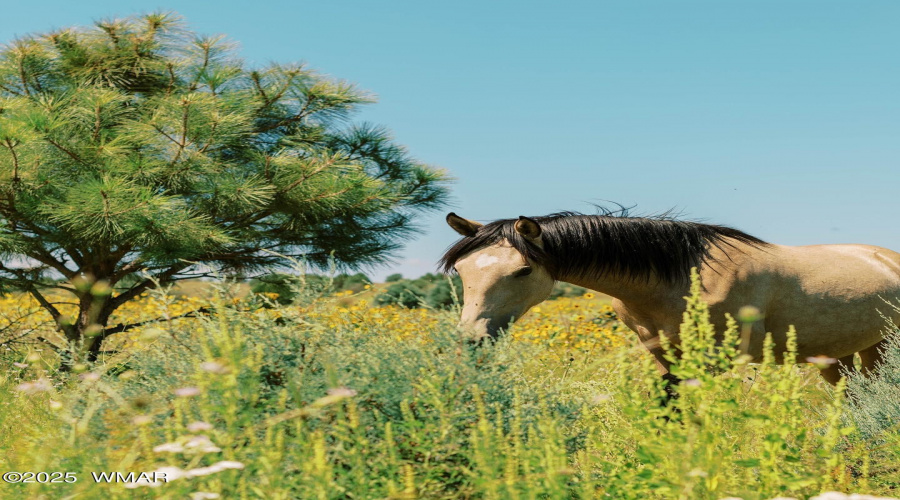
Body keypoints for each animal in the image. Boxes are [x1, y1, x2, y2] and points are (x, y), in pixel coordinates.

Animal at [440, 209, 900, 384]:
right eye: (462, 271)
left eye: (522, 271)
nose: (470, 338)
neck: (682, 278)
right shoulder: (665, 357)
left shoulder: (714, 362)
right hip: (839, 354)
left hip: (878, 349)